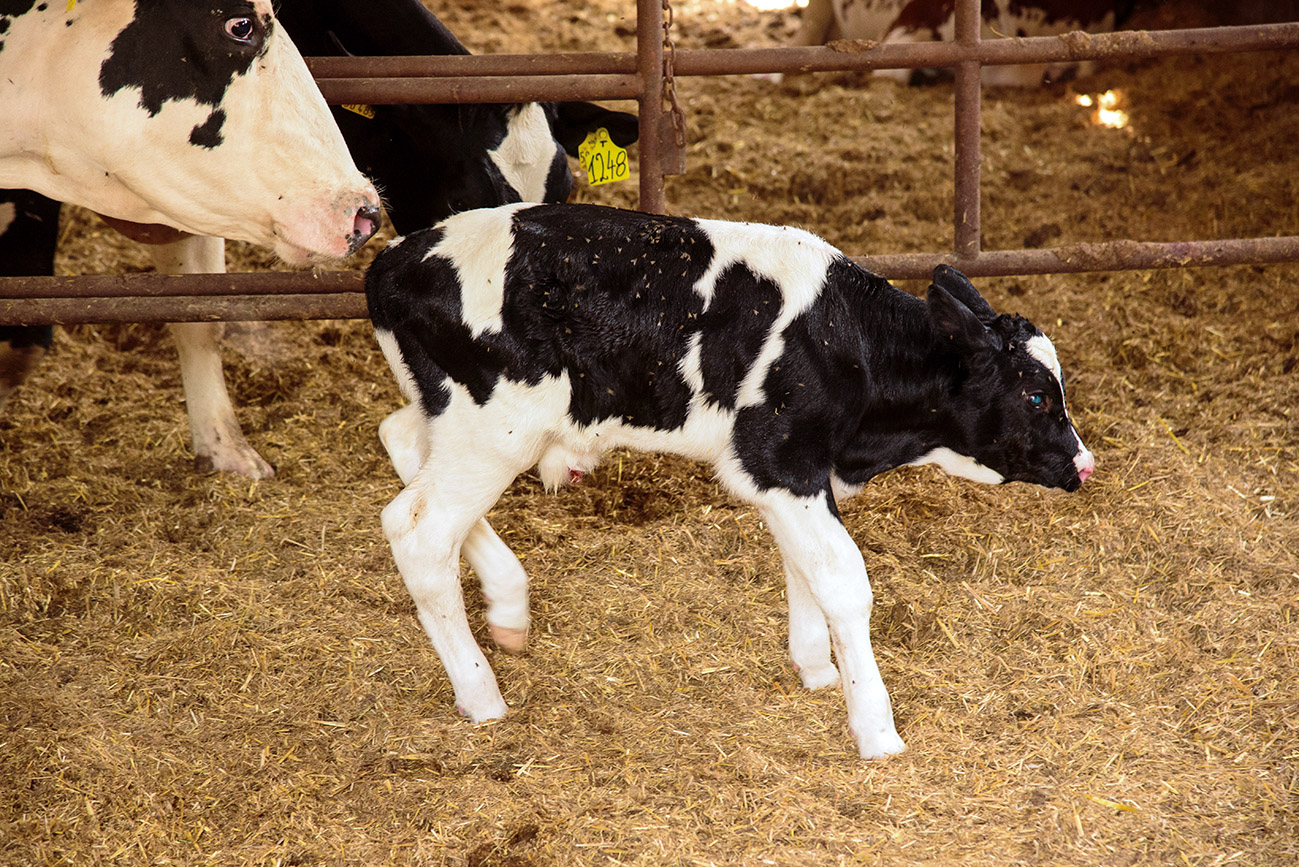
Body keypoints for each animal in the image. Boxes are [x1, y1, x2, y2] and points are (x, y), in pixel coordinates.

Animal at [364, 202, 1096, 760]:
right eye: (1036, 396)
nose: (1082, 463)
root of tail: (395, 259)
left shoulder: (786, 474)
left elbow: (802, 563)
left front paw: (815, 665)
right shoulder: (779, 457)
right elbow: (842, 580)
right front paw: (876, 727)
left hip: (451, 418)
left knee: (400, 440)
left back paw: (508, 603)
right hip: (494, 429)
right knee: (417, 529)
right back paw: (481, 694)